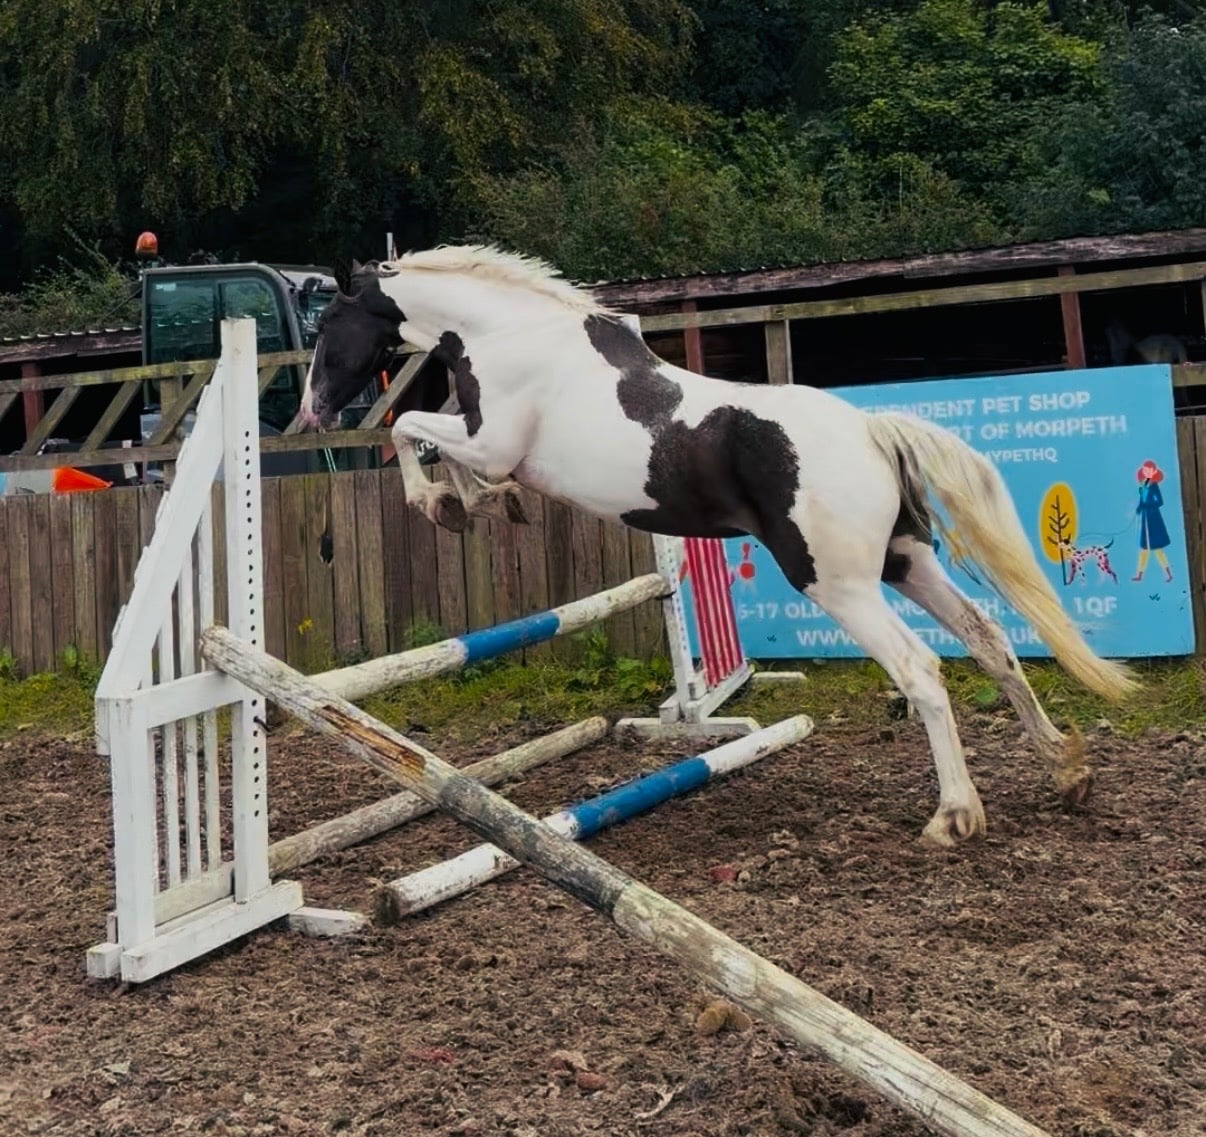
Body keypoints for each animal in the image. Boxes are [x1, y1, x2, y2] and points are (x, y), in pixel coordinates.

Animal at [298, 245, 1138, 849]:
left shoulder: (493, 438)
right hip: (907, 561)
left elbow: (411, 431)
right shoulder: (488, 442)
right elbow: (437, 447)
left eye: (324, 328)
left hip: (838, 584)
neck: (510, 334)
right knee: (990, 640)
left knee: (922, 669)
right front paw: (476, 504)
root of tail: (872, 429)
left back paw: (955, 816)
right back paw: (1065, 769)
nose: (312, 410)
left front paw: (445, 504)